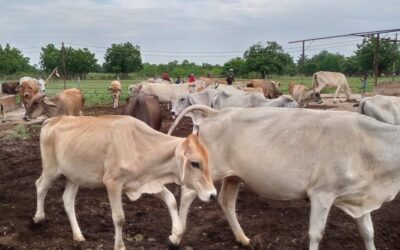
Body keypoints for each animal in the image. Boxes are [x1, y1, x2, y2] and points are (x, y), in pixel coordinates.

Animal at [34, 115, 216, 250]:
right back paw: (38, 217)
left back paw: (78, 235)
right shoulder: (113, 182)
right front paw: (119, 246)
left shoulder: (146, 182)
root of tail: (54, 119)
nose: (213, 195)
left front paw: (175, 235)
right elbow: (119, 217)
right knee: (40, 185)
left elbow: (171, 200)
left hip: (73, 176)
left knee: (68, 200)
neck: (141, 146)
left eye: (208, 160)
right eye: (195, 163)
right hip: (51, 169)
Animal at [167, 105, 400, 250]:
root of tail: (217, 112)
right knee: (187, 193)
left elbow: (368, 232)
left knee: (226, 201)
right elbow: (316, 233)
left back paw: (243, 239)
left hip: (234, 176)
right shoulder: (322, 193)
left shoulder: (360, 196)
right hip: (208, 170)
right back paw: (176, 237)